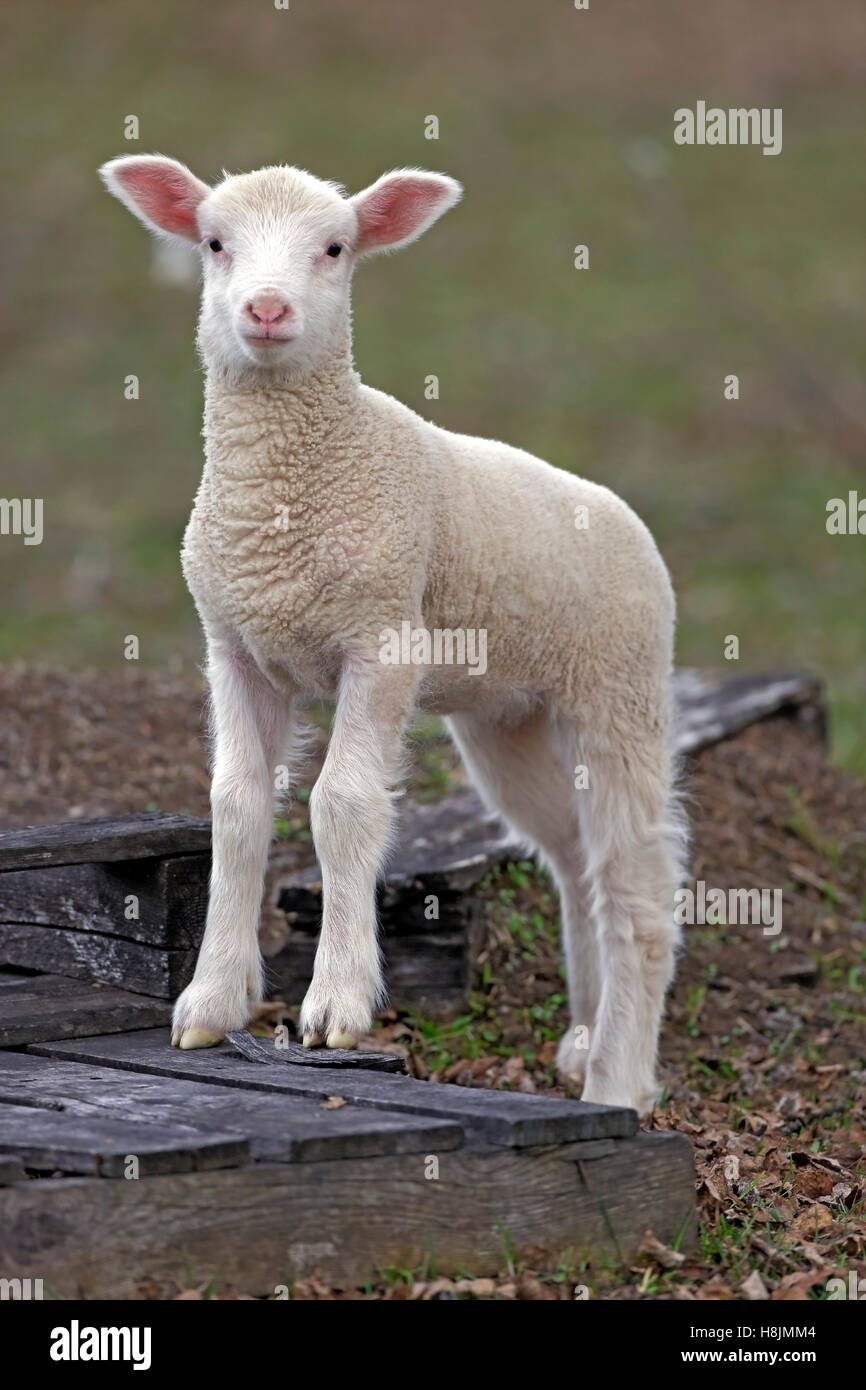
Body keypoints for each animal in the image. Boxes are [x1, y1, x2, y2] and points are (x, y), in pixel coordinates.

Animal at [100, 152, 683, 1112]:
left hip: (620, 682)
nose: (267, 310)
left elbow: (341, 802)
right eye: (214, 243)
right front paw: (212, 1001)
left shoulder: (381, 640)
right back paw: (584, 1035)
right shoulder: (237, 648)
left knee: (636, 881)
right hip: (507, 717)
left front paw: (335, 1004)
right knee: (574, 859)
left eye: (335, 248)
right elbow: (236, 805)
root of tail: (621, 514)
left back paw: (618, 1080)